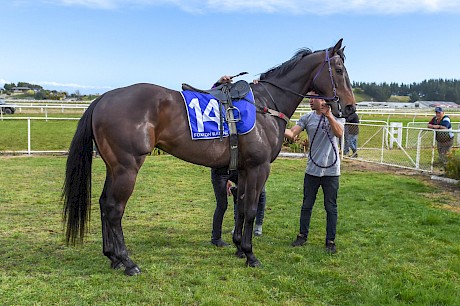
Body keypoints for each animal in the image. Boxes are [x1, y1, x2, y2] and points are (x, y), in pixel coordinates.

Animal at [62, 38, 356, 274]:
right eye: (339, 70)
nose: (350, 108)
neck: (265, 105)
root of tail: (104, 98)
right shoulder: (259, 168)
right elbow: (251, 209)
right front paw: (251, 255)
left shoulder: (245, 169)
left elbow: (241, 208)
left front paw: (238, 247)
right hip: (127, 167)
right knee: (114, 209)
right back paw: (127, 261)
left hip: (113, 166)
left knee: (103, 204)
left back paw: (112, 257)